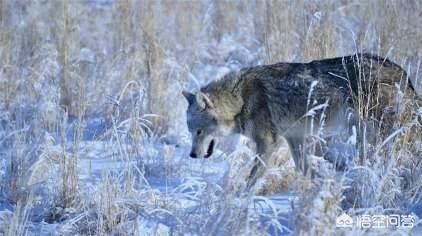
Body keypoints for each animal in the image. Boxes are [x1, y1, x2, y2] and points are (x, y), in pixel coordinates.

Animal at [183, 53, 418, 188]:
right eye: (191, 131)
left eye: (199, 131)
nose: (192, 155)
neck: (241, 99)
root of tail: (402, 72)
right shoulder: (294, 139)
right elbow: (306, 171)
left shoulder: (267, 143)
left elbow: (251, 179)